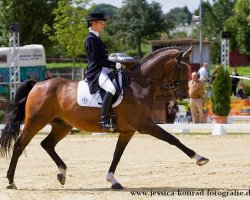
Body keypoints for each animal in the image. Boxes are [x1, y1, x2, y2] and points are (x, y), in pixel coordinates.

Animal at [0, 46, 209, 190]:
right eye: (182, 68)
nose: (184, 94)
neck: (139, 86)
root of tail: (38, 84)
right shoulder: (145, 125)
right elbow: (172, 139)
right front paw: (199, 158)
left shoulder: (128, 130)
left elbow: (117, 154)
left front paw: (112, 180)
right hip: (35, 121)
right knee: (19, 145)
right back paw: (11, 181)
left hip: (62, 125)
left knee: (47, 144)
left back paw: (62, 173)